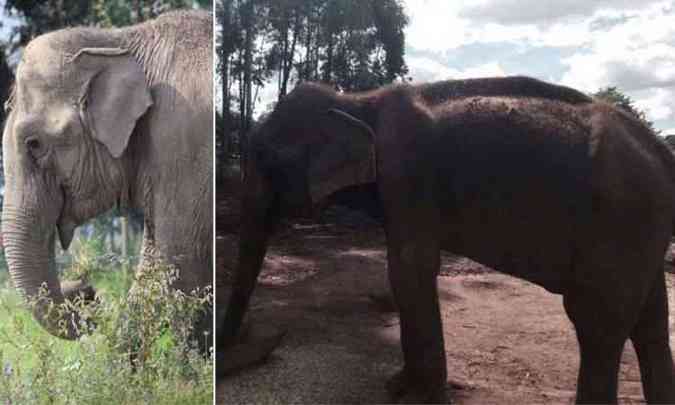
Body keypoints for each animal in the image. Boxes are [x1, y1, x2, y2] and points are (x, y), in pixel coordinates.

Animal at [219, 76, 672, 404]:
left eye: (266, 158)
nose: (243, 341)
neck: (357, 101)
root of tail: (663, 153)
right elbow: (404, 273)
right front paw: (399, 386)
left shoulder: (407, 174)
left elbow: (409, 269)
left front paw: (419, 395)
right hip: (643, 230)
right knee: (650, 322)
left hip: (621, 222)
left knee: (596, 323)